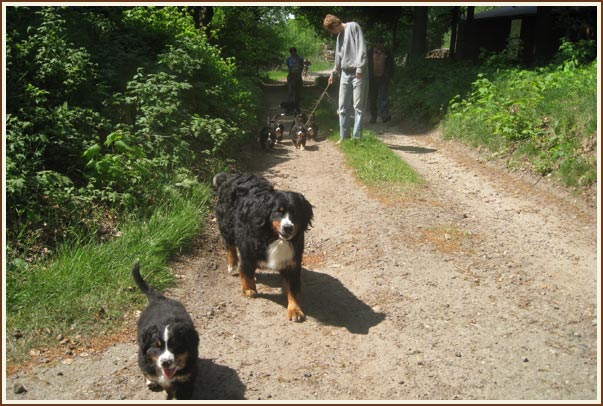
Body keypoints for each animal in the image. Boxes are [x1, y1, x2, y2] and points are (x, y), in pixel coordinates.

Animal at [133, 261, 199, 400]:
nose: (166, 363)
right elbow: (148, 372)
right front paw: (151, 380)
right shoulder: (144, 361)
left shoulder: (187, 379)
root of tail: (160, 298)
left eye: (176, 345)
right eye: (157, 346)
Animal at [212, 172, 314, 322]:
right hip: (227, 224)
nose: (288, 227)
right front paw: (249, 289)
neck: (274, 238)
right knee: (230, 245)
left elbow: (293, 290)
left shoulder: (292, 263)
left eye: (295, 213)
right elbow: (247, 272)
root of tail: (231, 177)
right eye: (278, 211)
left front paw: (295, 310)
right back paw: (232, 263)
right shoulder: (248, 252)